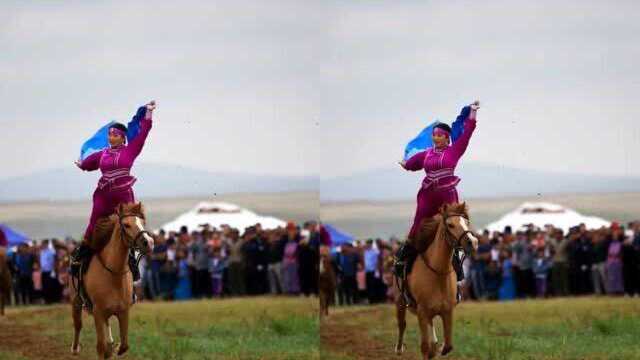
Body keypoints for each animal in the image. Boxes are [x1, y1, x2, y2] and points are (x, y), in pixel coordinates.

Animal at [70, 204, 154, 358]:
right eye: (126, 225)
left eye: (142, 222)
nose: (148, 242)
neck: (114, 274)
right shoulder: (98, 312)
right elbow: (101, 347)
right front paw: (107, 349)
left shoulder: (124, 311)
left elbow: (125, 345)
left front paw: (116, 347)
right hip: (76, 300)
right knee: (78, 324)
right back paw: (75, 348)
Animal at [392, 202, 478, 360]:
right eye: (450, 225)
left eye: (467, 222)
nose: (472, 242)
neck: (438, 273)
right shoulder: (422, 312)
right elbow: (425, 347)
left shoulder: (447, 311)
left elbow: (448, 345)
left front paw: (441, 347)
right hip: (400, 300)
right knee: (402, 324)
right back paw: (399, 348)